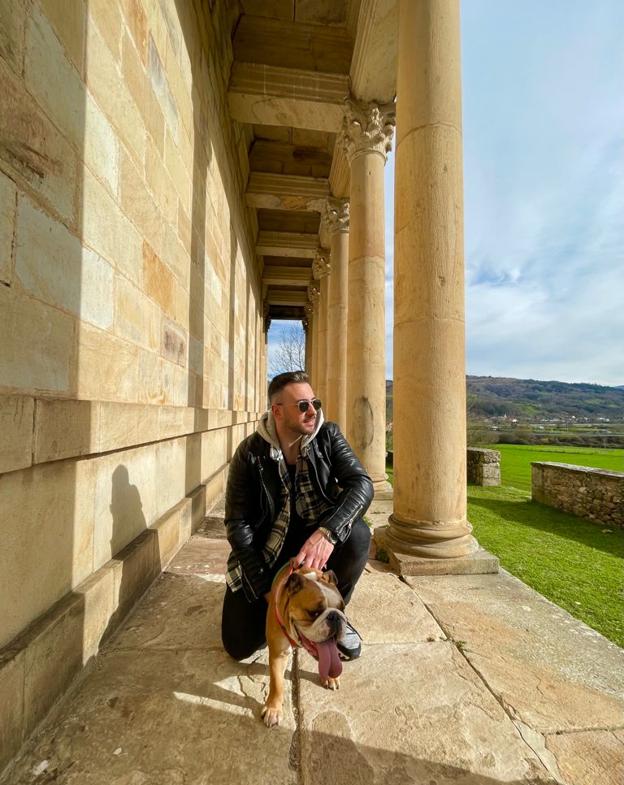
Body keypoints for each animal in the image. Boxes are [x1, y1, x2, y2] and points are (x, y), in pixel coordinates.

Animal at [260, 560, 346, 724]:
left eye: (342, 608)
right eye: (314, 613)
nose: (336, 616)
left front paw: (331, 676)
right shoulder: (278, 654)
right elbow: (277, 683)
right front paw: (273, 708)